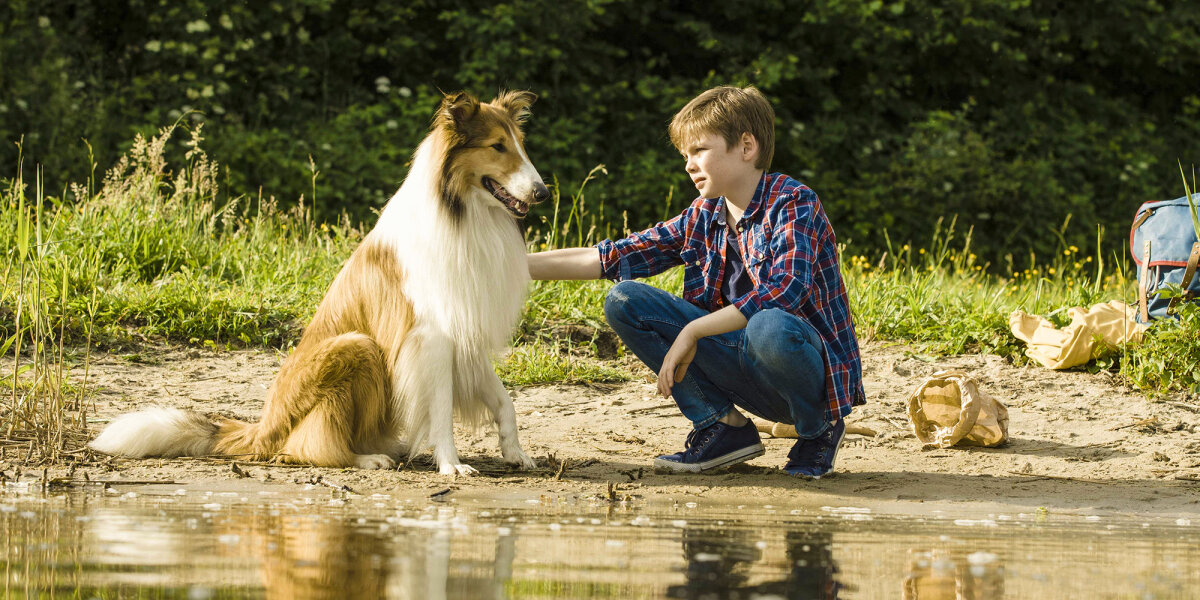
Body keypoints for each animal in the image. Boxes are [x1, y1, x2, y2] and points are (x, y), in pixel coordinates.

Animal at [91, 90, 549, 472]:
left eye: (521, 146)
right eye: (497, 147)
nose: (543, 192)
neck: (464, 213)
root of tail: (264, 427)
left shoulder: (465, 330)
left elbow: (504, 400)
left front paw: (516, 453)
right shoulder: (431, 335)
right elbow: (439, 410)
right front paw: (451, 465)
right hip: (355, 346)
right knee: (308, 445)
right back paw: (366, 459)